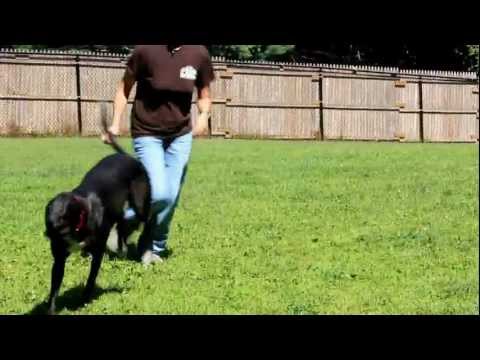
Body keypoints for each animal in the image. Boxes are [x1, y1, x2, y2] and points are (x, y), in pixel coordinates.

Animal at [45, 105, 151, 316]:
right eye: (50, 229)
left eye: (61, 225)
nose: (48, 236)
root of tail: (127, 156)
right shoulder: (59, 260)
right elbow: (54, 289)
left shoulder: (98, 251)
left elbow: (91, 278)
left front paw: (84, 300)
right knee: (122, 223)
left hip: (139, 202)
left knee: (145, 217)